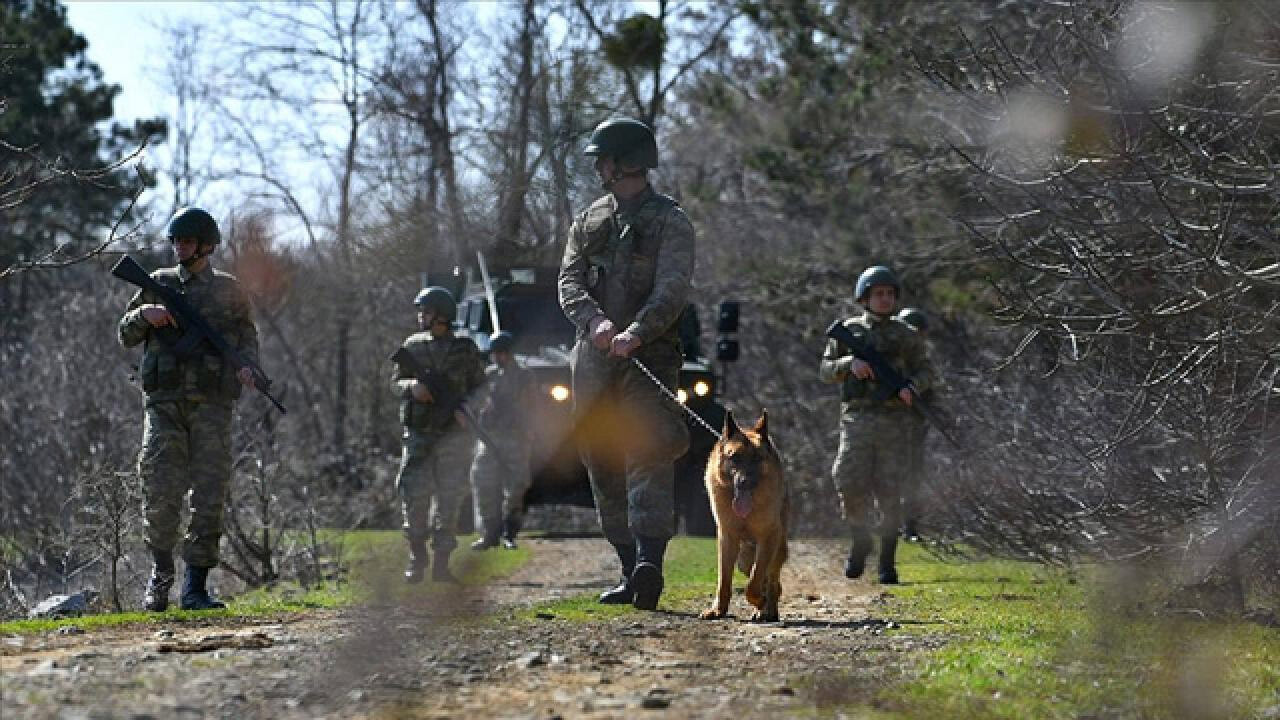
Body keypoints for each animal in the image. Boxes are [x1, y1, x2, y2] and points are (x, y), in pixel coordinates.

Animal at [701, 409, 788, 622]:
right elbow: (724, 580)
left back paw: (768, 609)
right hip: (744, 559)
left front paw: (760, 602)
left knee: (772, 581)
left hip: (775, 549)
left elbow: (755, 581)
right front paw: (718, 610)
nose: (744, 482)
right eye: (735, 458)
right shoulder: (727, 538)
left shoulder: (768, 538)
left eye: (757, 459)